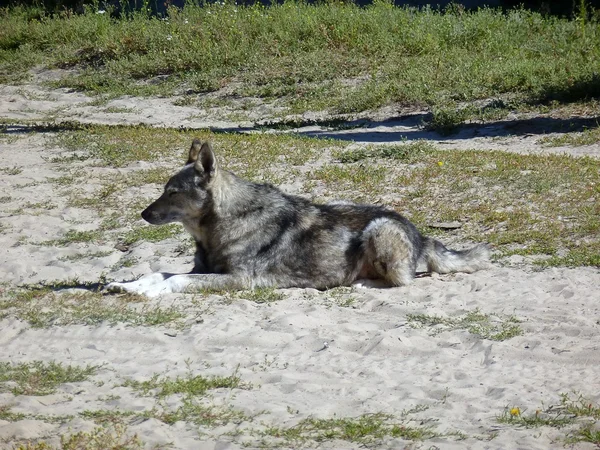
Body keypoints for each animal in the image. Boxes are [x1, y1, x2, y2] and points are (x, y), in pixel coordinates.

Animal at [108, 139, 490, 298]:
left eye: (172, 192)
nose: (143, 214)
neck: (220, 225)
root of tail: (421, 233)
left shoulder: (237, 279)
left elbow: (174, 281)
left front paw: (147, 293)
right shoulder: (203, 270)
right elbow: (158, 272)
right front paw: (129, 286)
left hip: (378, 231)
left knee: (403, 281)